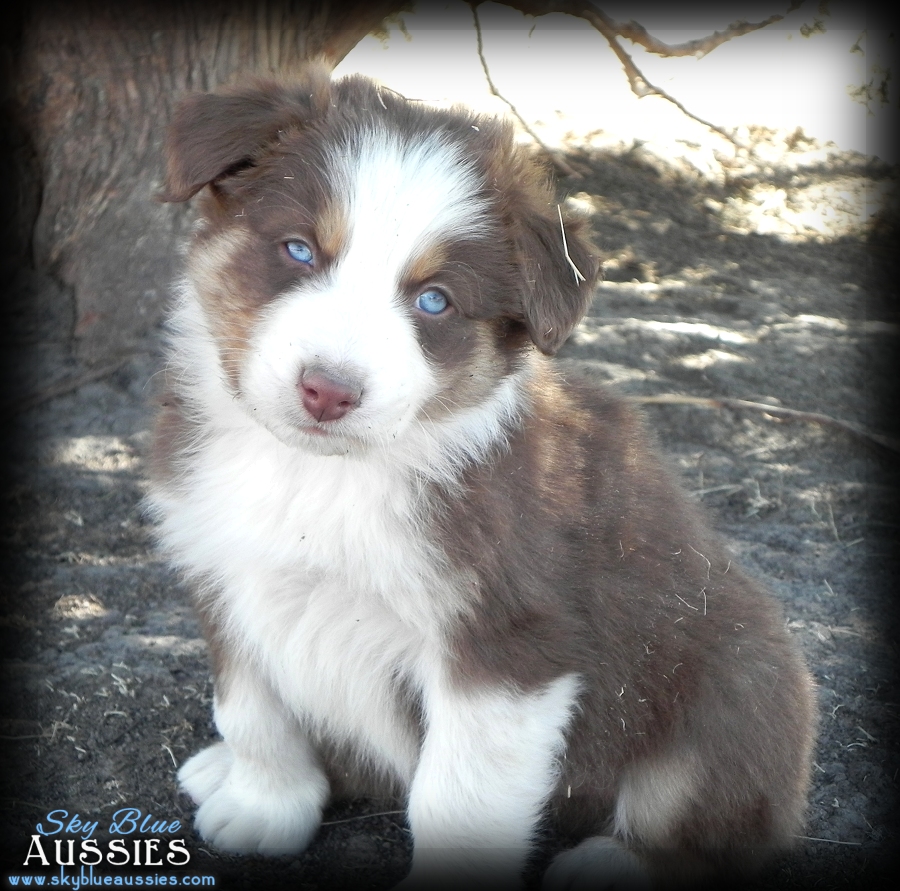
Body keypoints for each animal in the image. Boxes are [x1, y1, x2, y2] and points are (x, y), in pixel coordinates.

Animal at [151, 66, 820, 888]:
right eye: (299, 250)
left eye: (433, 300)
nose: (328, 391)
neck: (318, 477)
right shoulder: (227, 576)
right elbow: (252, 712)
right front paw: (262, 806)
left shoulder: (508, 643)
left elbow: (455, 801)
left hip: (738, 678)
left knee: (711, 824)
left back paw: (611, 865)